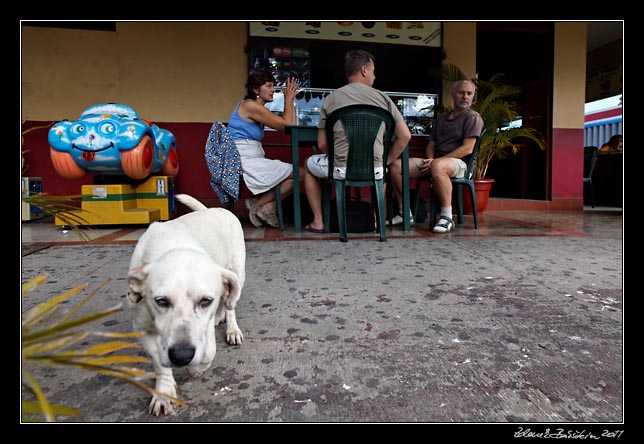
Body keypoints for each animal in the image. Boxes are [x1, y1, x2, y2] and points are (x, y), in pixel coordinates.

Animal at [127, 195, 245, 416]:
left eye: (205, 300)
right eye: (161, 300)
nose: (181, 356)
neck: (173, 246)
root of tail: (212, 209)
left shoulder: (204, 329)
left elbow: (208, 352)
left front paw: (195, 370)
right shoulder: (143, 329)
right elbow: (159, 362)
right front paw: (164, 393)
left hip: (237, 272)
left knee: (231, 305)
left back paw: (232, 328)